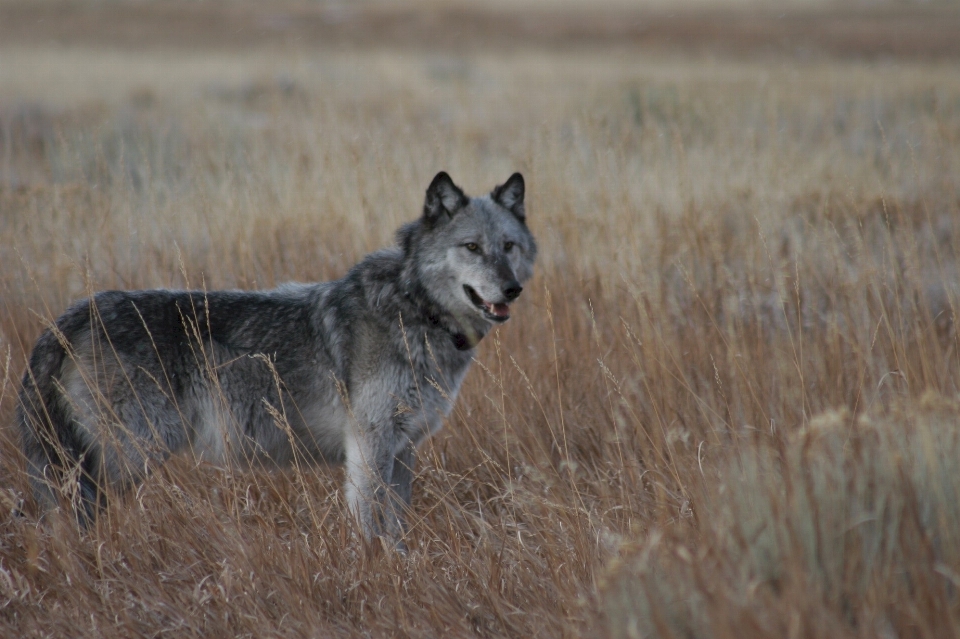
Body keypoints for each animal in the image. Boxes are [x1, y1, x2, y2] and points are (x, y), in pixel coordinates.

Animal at [15, 172, 536, 548]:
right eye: (472, 247)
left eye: (509, 246)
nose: (512, 289)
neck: (415, 308)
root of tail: (70, 317)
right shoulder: (369, 446)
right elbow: (372, 527)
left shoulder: (403, 449)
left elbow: (397, 527)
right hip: (125, 457)